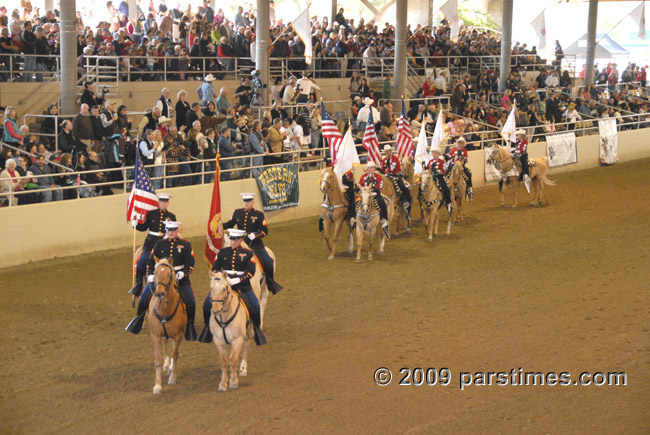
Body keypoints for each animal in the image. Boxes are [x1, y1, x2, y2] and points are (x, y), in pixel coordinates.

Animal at [148, 258, 186, 396]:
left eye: (169, 274)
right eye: (155, 273)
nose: (159, 293)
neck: (165, 309)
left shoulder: (179, 334)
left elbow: (175, 354)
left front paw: (173, 377)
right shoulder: (155, 335)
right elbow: (158, 359)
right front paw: (157, 385)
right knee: (166, 343)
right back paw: (166, 364)